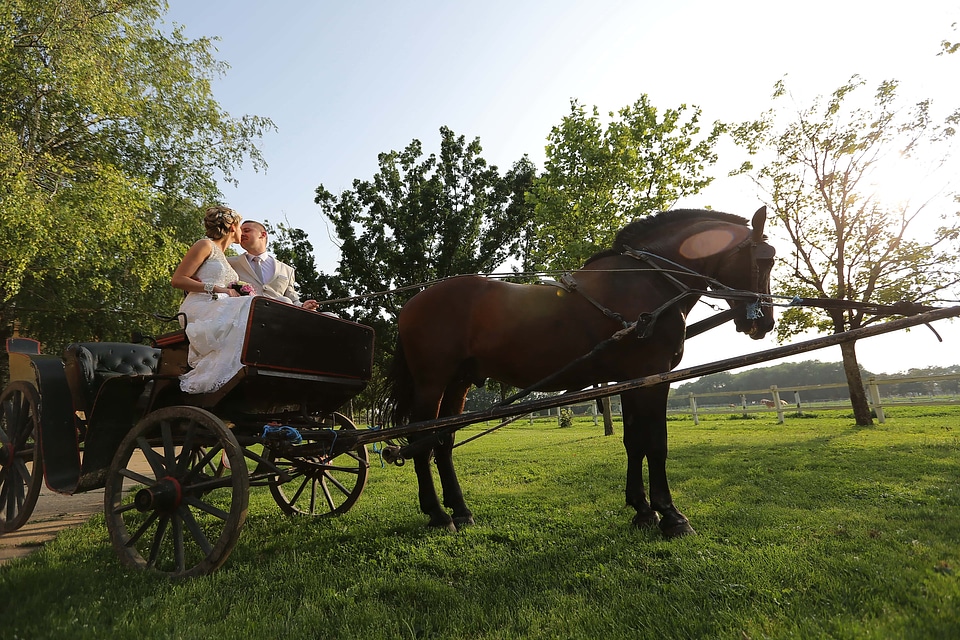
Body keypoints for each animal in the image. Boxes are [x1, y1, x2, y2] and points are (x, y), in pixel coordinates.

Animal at [386, 208, 776, 536]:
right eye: (765, 258)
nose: (764, 323)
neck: (648, 279)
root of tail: (412, 302)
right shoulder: (653, 376)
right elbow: (656, 443)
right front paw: (671, 516)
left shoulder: (629, 380)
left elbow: (634, 441)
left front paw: (642, 511)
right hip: (431, 382)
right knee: (419, 442)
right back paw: (438, 515)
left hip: (458, 383)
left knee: (442, 442)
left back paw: (461, 510)